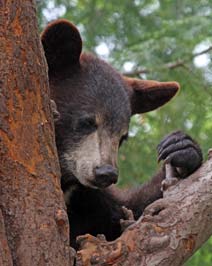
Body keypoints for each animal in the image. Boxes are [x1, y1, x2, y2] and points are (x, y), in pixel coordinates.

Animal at [41, 19, 202, 249]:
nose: (106, 173)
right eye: (87, 121)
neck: (65, 185)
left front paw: (182, 149)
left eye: (122, 137)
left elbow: (131, 213)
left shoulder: (87, 200)